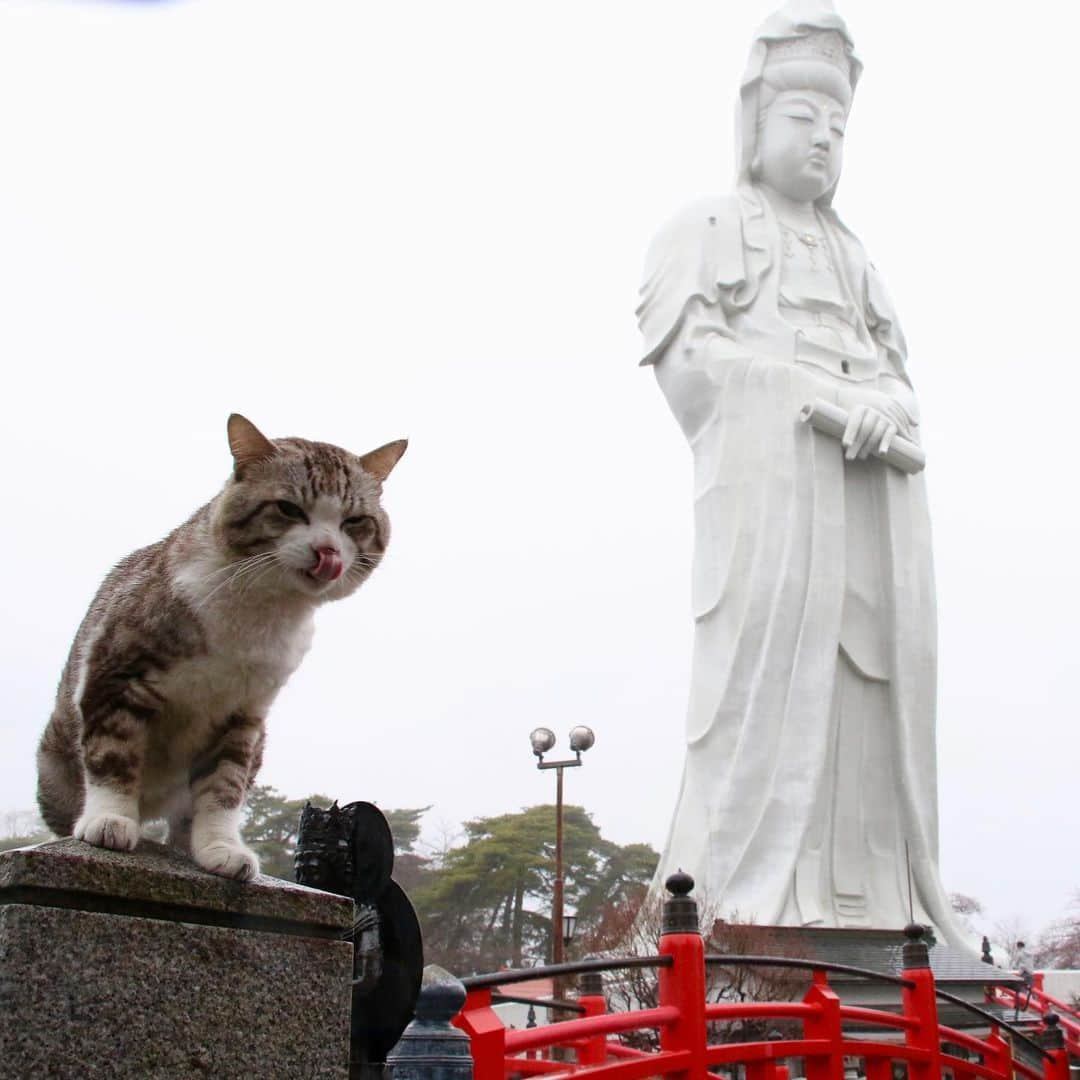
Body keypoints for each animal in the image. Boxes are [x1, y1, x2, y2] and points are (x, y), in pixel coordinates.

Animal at [35, 412, 406, 876]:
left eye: (354, 521)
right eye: (288, 508)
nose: (329, 552)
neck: (260, 610)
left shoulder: (243, 714)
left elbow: (224, 787)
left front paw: (219, 847)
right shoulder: (116, 671)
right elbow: (113, 754)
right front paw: (110, 820)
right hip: (54, 766)